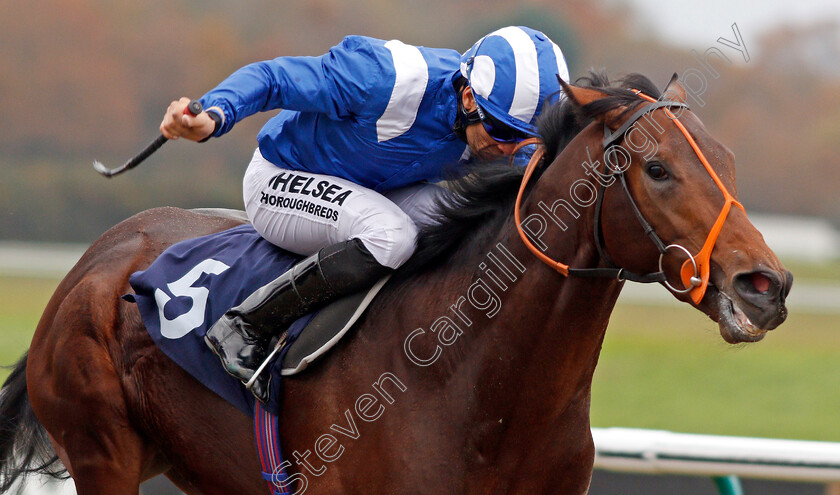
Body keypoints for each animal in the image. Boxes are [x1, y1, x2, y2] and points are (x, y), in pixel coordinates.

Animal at [0, 74, 792, 495]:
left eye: (726, 159)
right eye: (657, 169)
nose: (767, 285)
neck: (479, 386)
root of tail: (97, 257)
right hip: (102, 452)